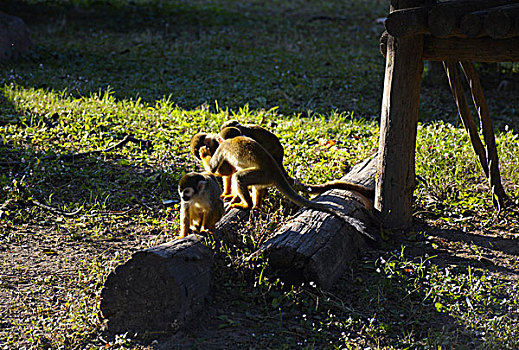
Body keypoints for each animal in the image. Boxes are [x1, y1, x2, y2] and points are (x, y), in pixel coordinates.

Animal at [198, 137, 374, 241]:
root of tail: (276, 170)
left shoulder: (221, 149)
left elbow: (213, 168)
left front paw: (204, 152)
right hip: (265, 178)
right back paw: (255, 205)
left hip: (263, 174)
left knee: (239, 177)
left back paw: (247, 205)